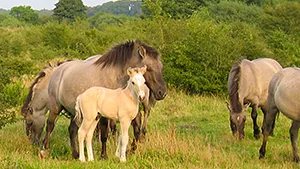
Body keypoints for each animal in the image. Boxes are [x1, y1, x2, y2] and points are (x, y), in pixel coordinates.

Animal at [38, 40, 168, 159]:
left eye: (161, 67)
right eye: (149, 68)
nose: (162, 93)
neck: (114, 77)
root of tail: (59, 70)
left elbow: (131, 131)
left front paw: (126, 152)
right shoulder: (105, 115)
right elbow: (104, 135)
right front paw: (104, 155)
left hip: (75, 112)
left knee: (72, 130)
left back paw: (75, 154)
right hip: (55, 107)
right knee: (50, 126)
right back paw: (45, 150)